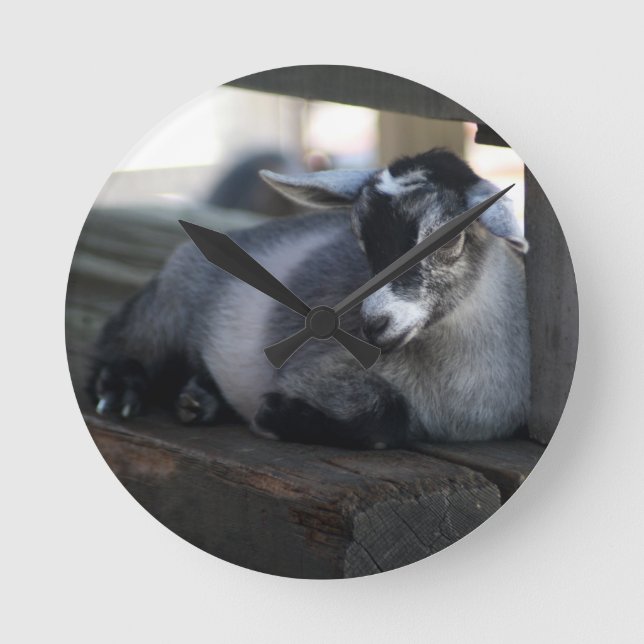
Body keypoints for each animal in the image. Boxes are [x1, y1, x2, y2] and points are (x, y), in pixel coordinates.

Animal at [88, 149, 530, 449]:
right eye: (359, 236)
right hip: (168, 305)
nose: (373, 324)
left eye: (451, 238)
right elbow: (388, 420)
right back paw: (121, 391)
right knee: (122, 341)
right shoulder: (317, 371)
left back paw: (199, 399)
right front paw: (275, 415)